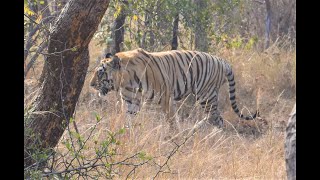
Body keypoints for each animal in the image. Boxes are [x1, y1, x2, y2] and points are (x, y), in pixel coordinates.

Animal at [89, 48, 258, 131]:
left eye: (100, 72)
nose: (90, 85)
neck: (126, 81)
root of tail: (223, 61)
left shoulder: (164, 98)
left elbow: (170, 120)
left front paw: (173, 137)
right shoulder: (131, 102)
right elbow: (128, 119)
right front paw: (125, 134)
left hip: (206, 95)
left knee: (217, 118)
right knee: (215, 117)